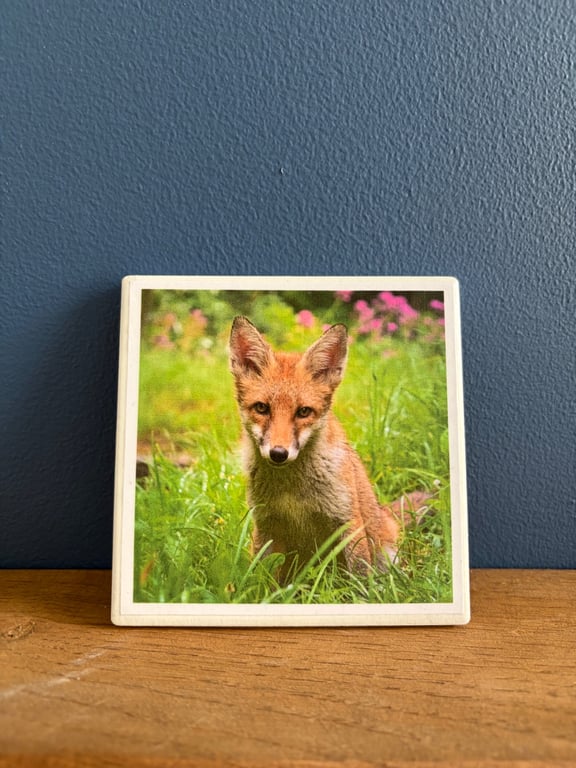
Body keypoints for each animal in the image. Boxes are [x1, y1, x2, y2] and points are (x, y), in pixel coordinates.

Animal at [229, 315, 431, 583]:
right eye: (262, 408)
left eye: (303, 411)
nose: (278, 454)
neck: (293, 491)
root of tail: (385, 512)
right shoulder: (266, 526)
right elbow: (262, 580)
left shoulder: (347, 523)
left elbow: (359, 581)